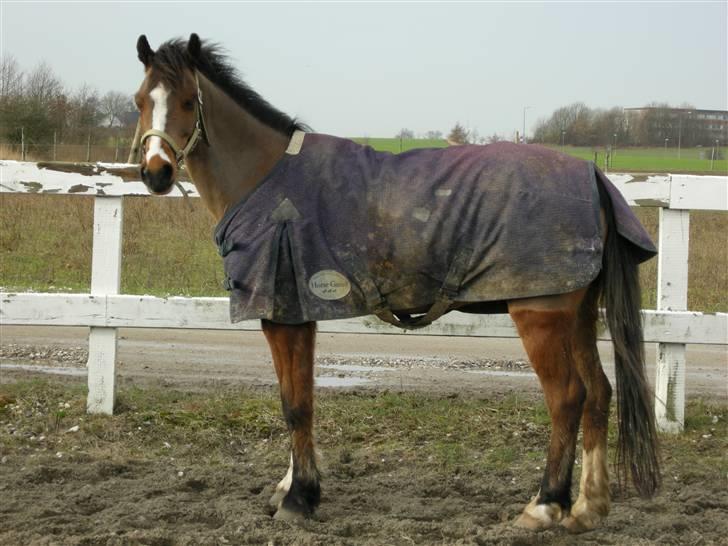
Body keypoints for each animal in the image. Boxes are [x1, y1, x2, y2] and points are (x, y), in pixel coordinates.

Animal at [133, 33, 660, 532]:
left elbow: (295, 405)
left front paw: (300, 499)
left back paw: (546, 506)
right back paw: (588, 508)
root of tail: (592, 175)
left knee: (567, 398)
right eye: (140, 99)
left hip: (541, 315)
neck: (266, 179)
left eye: (187, 101)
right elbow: (299, 398)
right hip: (580, 315)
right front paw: (290, 486)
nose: (156, 173)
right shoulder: (296, 313)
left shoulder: (285, 318)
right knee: (599, 394)